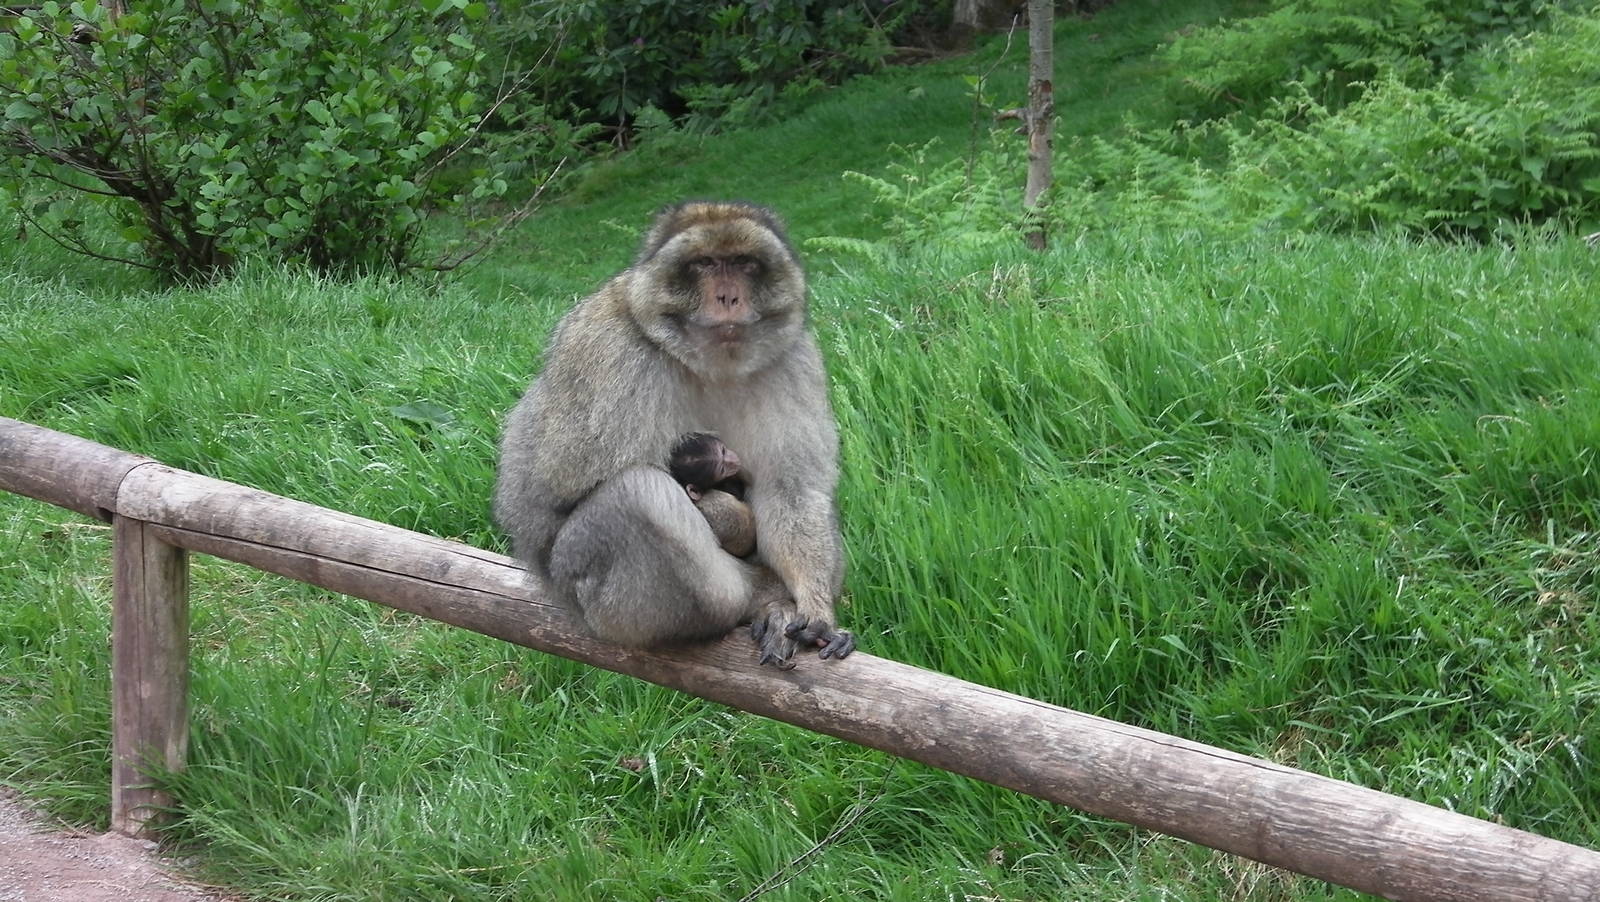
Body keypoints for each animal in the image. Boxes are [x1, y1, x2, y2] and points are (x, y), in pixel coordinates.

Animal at [494, 201, 854, 666]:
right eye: (704, 264)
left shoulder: (794, 360)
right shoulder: (610, 352)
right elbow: (558, 490)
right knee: (638, 495)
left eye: (744, 263)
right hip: (598, 602)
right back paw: (760, 597)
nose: (728, 297)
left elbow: (790, 488)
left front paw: (814, 607)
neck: (708, 364)